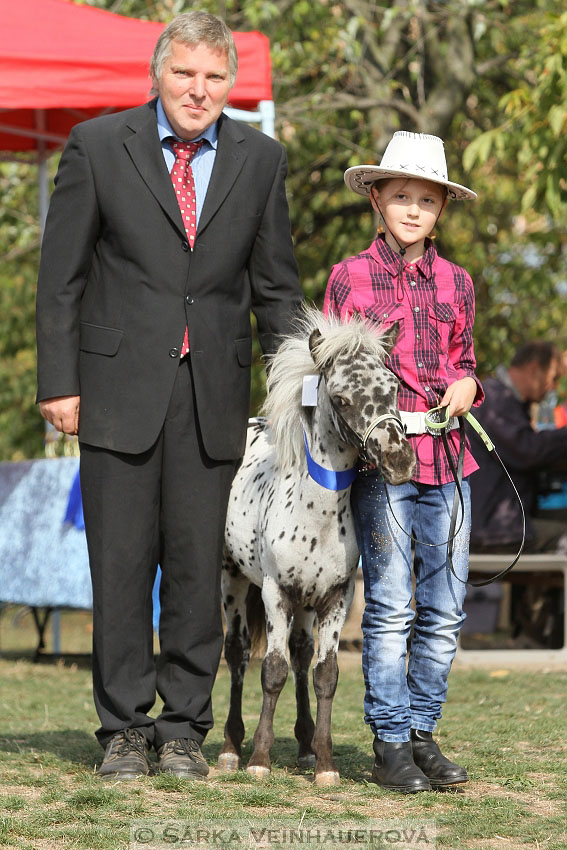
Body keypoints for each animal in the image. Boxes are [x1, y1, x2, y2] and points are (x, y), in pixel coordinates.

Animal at [220, 308, 414, 784]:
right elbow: (271, 670)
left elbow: (325, 674)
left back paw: (306, 746)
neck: (315, 516)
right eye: (341, 399)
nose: (400, 462)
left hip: (305, 605)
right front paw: (260, 760)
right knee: (237, 654)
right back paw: (231, 748)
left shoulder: (334, 597)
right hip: (233, 579)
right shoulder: (275, 593)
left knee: (302, 656)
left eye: (393, 388)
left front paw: (325, 764)